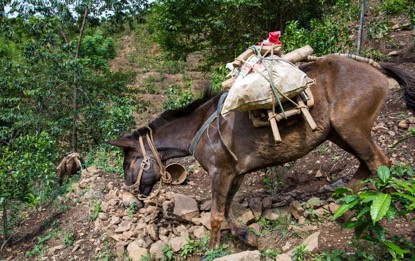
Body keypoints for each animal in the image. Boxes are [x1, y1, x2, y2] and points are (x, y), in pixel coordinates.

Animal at [108, 54, 415, 248]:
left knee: (380, 162)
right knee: (367, 164)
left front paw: (213, 249)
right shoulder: (236, 173)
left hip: (351, 128)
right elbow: (227, 208)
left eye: (128, 163)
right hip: (339, 134)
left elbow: (216, 214)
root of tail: (376, 69)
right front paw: (245, 237)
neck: (201, 128)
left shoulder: (220, 172)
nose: (132, 196)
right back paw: (348, 205)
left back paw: (387, 206)